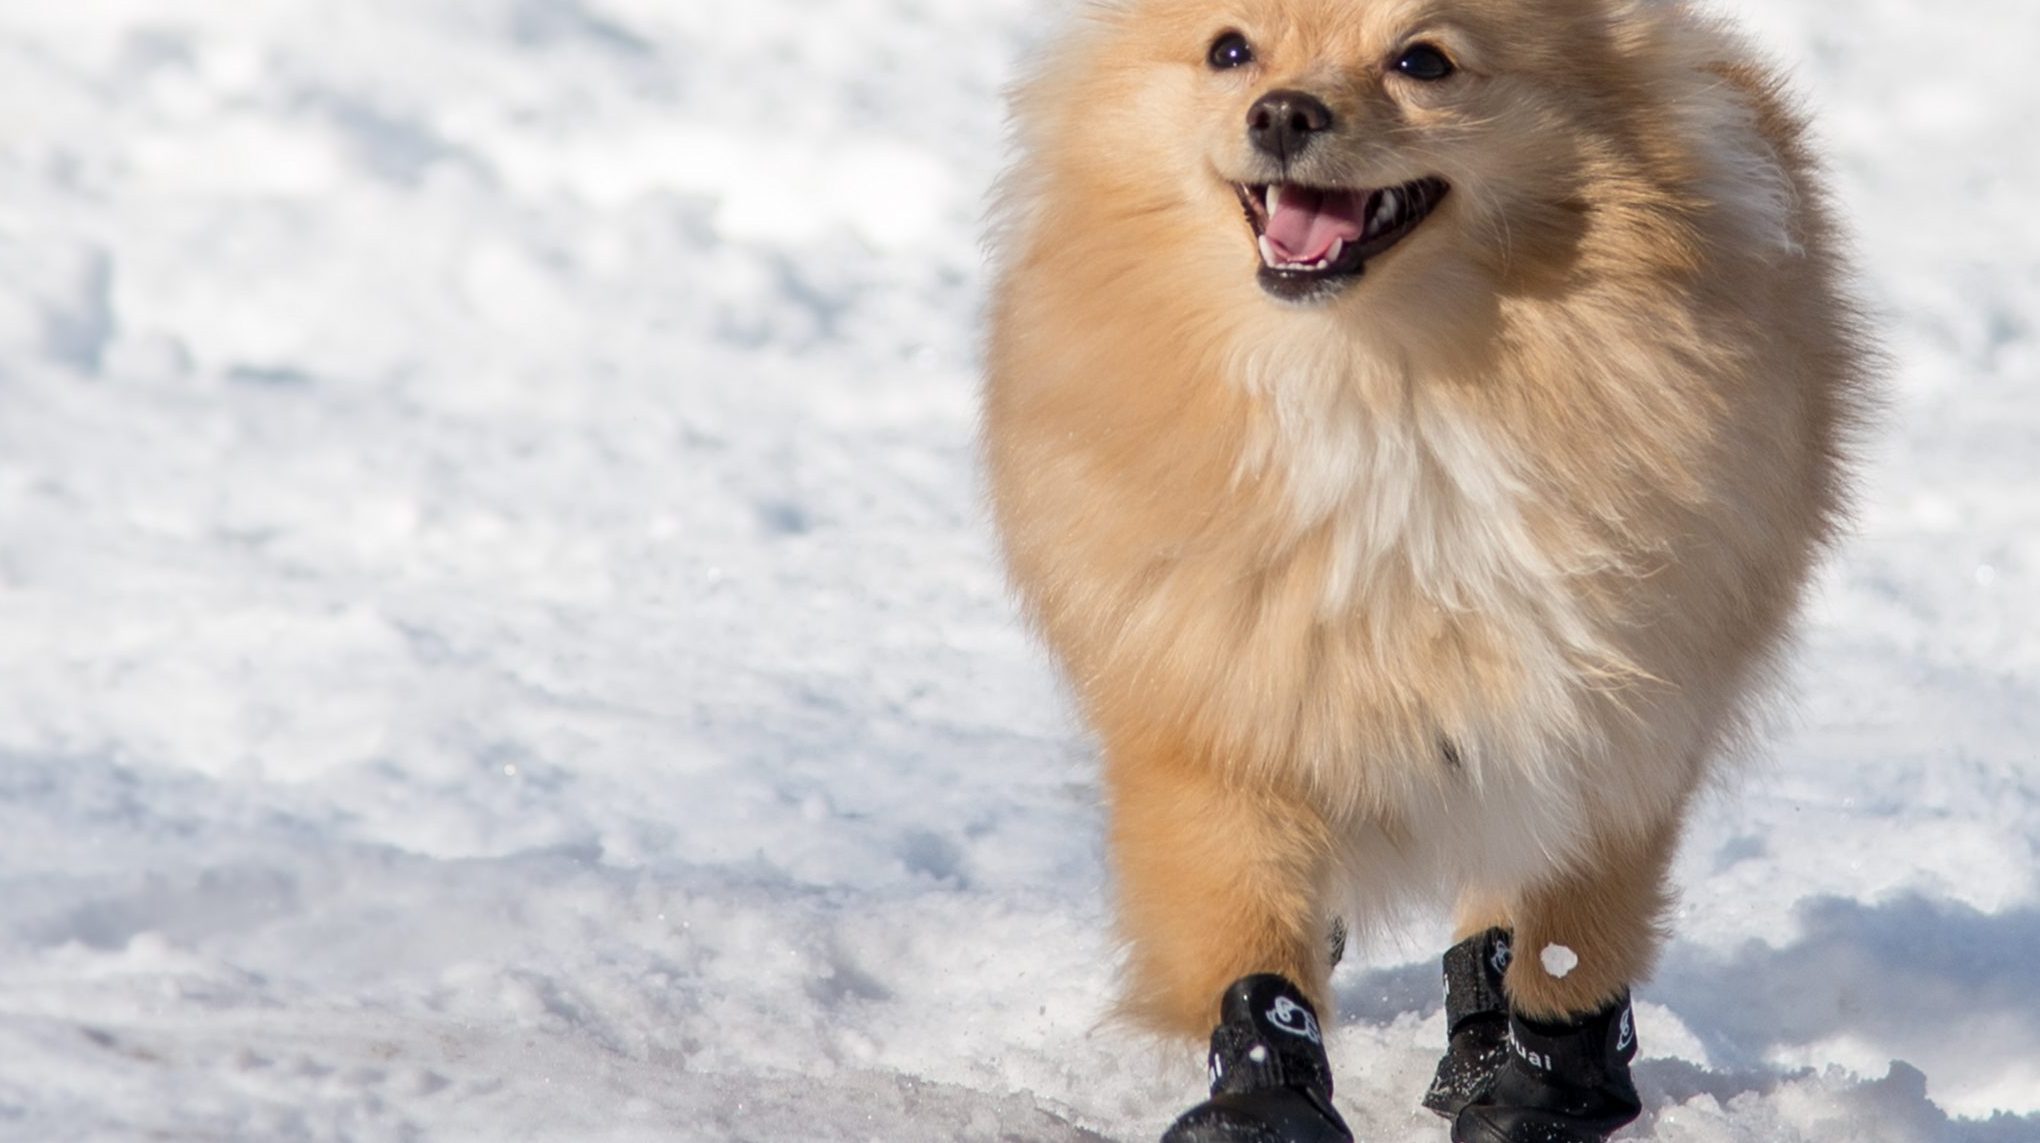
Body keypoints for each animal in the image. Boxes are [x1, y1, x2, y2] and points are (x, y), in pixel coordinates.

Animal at [983, 0, 1868, 1134]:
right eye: (1231, 51)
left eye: (1423, 61)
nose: (1282, 112)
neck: (1382, 383)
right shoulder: (1218, 709)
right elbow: (1245, 931)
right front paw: (1265, 1095)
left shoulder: (1608, 708)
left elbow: (1568, 930)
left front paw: (1547, 1085)